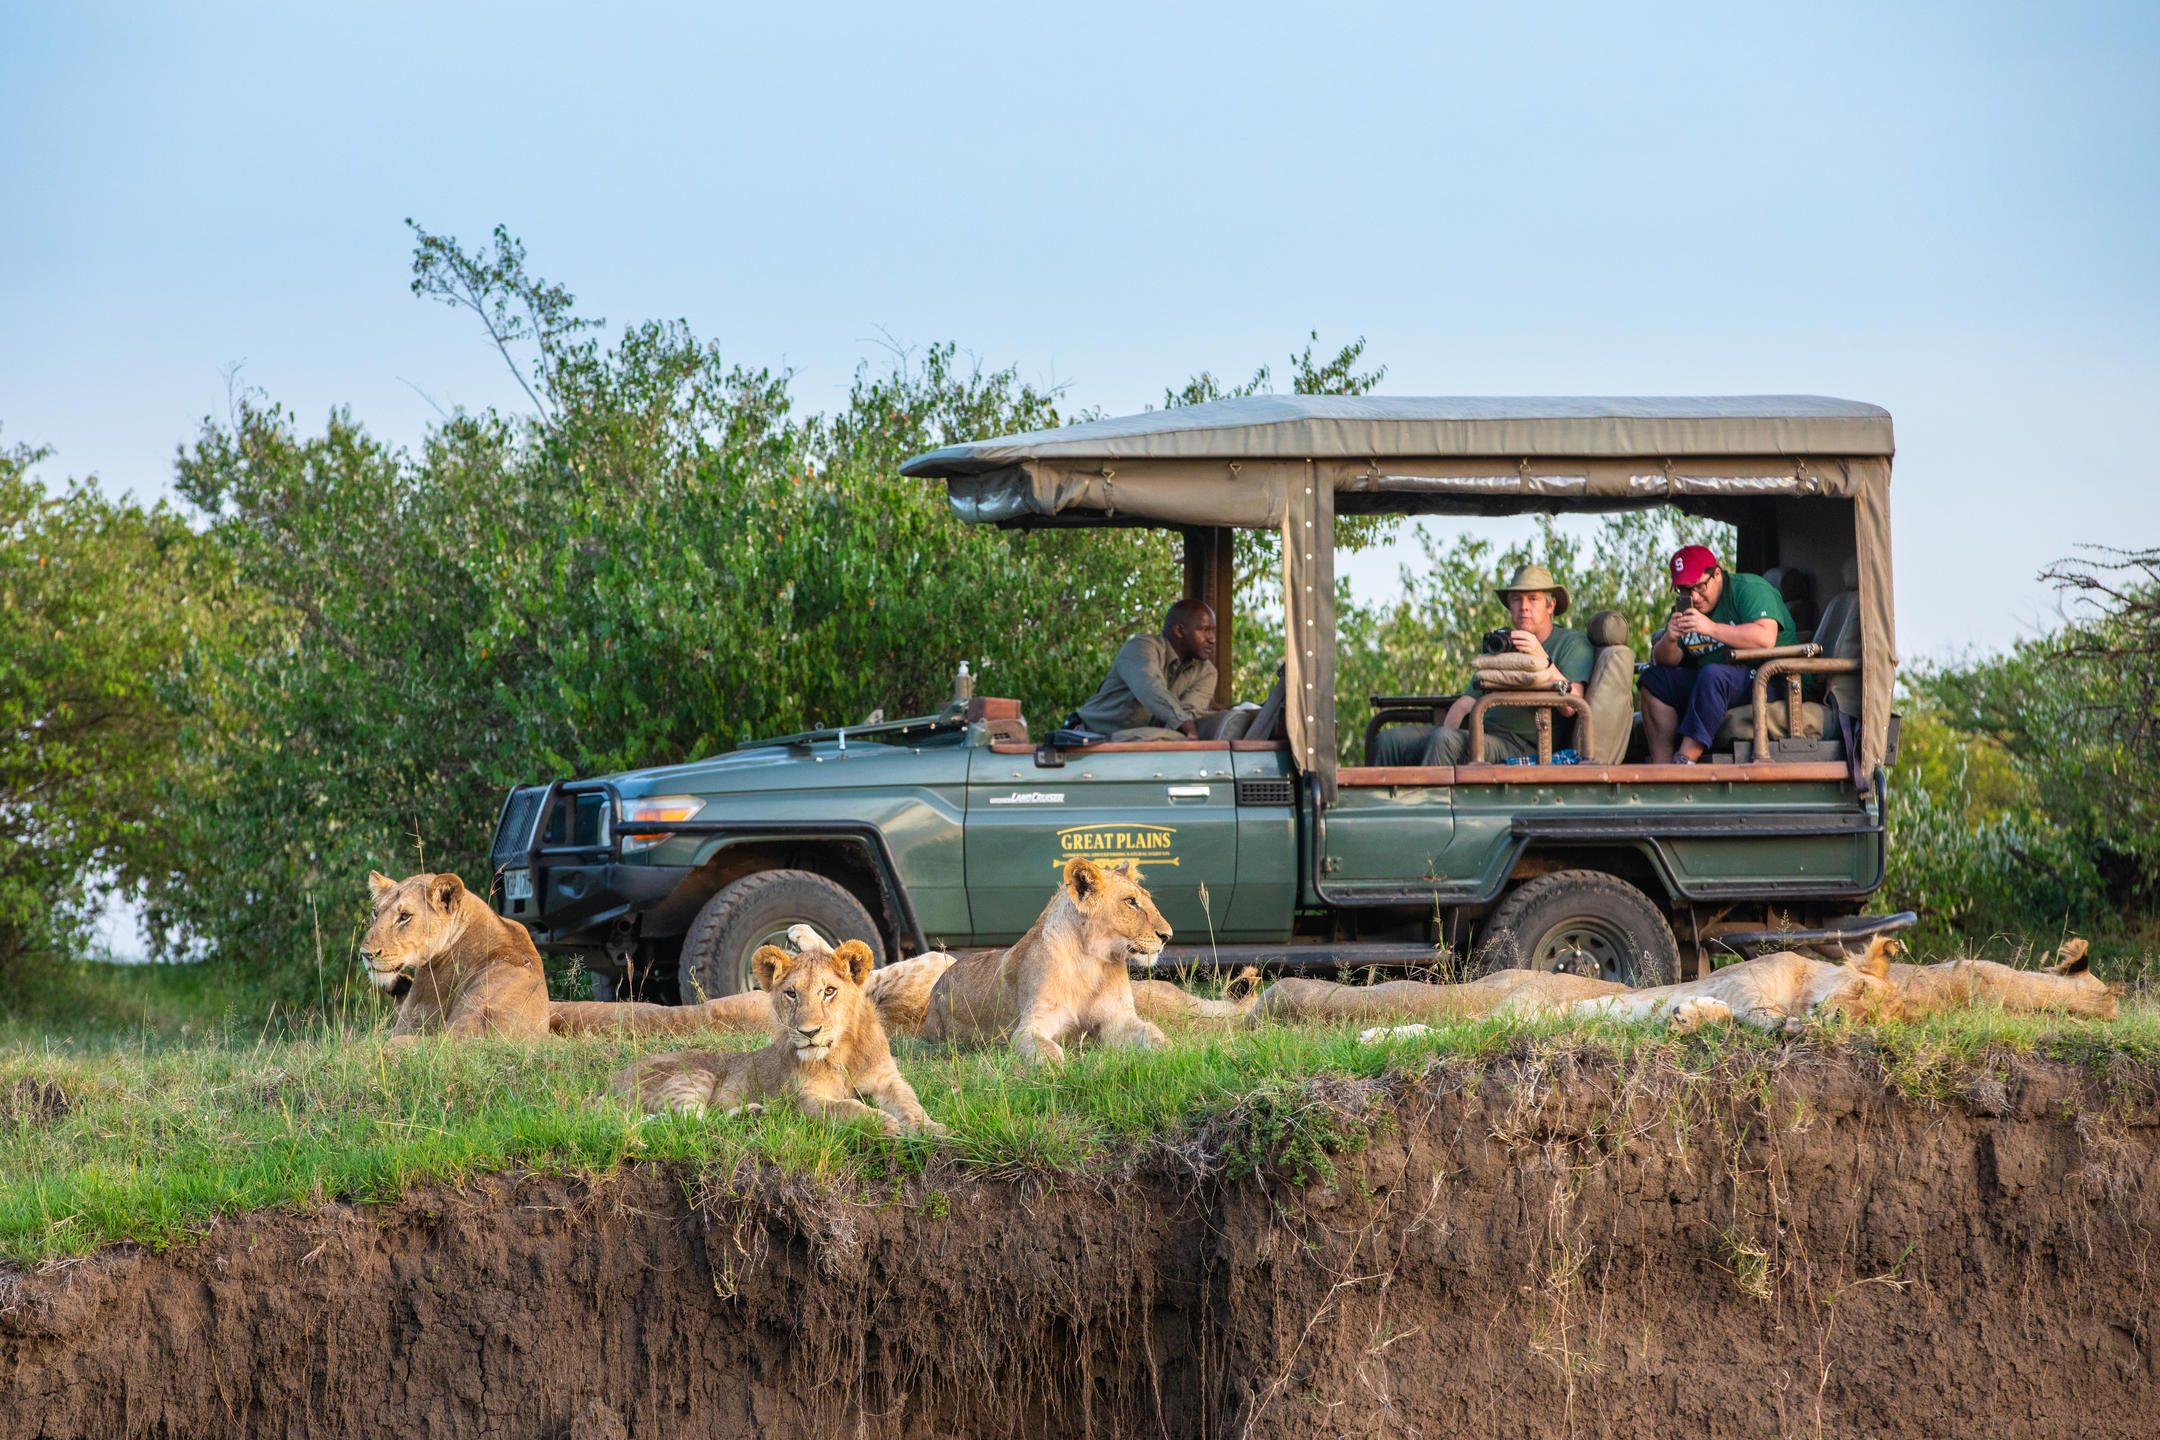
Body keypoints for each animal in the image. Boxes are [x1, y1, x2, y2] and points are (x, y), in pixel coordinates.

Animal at [613, 941, 941, 1139]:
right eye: (791, 994)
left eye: (829, 991)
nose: (809, 1033)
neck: (840, 1054)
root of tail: (613, 1081)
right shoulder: (804, 1100)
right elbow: (849, 1107)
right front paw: (886, 1124)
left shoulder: (888, 1079)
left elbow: (910, 1102)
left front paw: (932, 1128)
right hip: (693, 1076)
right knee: (690, 1122)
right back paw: (753, 1115)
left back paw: (752, 1114)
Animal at [920, 863, 1175, 1066]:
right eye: (1131, 902)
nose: (1167, 936)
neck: (1090, 962)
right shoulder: (1031, 1024)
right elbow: (1046, 1048)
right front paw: (1058, 1069)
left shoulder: (1118, 1018)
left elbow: (1153, 1032)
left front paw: (1171, 1053)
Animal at [1572, 936, 1909, 1036]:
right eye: (1860, 988)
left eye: (1867, 1019)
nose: (1838, 1018)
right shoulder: (1738, 980)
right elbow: (1759, 1007)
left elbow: (1729, 1017)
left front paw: (1687, 1017)